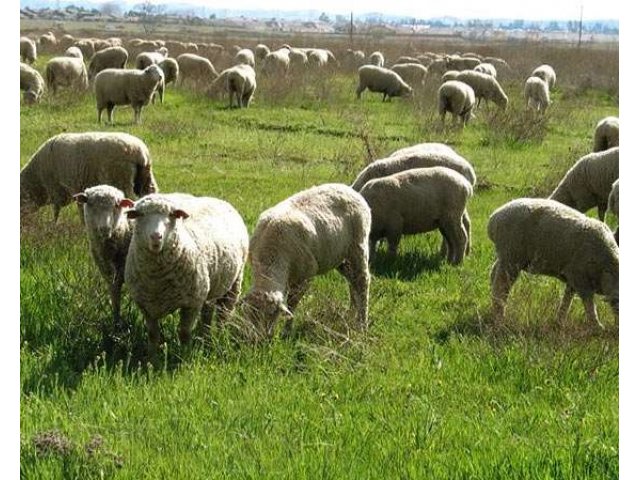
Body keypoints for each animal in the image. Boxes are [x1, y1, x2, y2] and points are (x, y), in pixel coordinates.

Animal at [19, 131, 158, 221]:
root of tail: (140, 152)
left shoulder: (56, 189)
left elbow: (56, 212)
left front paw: (54, 226)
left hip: (121, 179)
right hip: (145, 178)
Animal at [73, 186, 135, 324]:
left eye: (117, 205)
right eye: (90, 203)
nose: (104, 228)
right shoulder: (105, 269)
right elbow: (114, 292)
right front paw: (116, 319)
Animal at [124, 192, 249, 348]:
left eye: (172, 215)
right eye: (139, 214)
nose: (156, 237)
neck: (157, 279)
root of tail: (219, 200)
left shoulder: (192, 303)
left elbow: (184, 333)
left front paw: (184, 352)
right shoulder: (146, 306)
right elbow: (153, 335)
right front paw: (152, 353)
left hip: (234, 283)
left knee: (223, 314)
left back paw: (217, 335)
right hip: (210, 288)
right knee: (207, 314)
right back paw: (205, 337)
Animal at [240, 183, 370, 338]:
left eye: (271, 315)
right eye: (249, 315)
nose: (258, 339)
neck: (270, 255)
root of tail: (349, 189)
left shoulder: (305, 276)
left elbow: (292, 304)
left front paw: (286, 331)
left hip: (358, 247)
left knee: (362, 283)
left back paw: (362, 324)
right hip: (342, 258)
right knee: (352, 282)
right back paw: (351, 314)